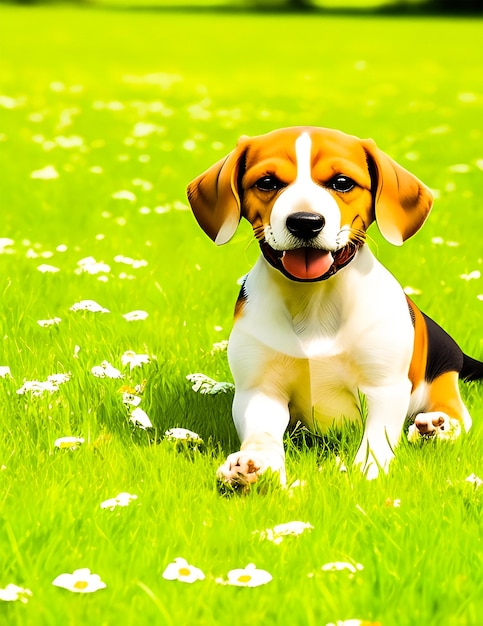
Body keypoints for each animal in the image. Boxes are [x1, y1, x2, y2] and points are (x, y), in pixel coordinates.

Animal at [186, 125, 483, 482]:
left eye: (342, 182)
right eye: (267, 182)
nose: (305, 221)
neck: (314, 299)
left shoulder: (384, 387)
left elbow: (377, 436)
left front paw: (368, 471)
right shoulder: (260, 390)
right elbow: (262, 433)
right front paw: (254, 464)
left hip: (442, 381)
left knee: (457, 417)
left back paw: (434, 427)